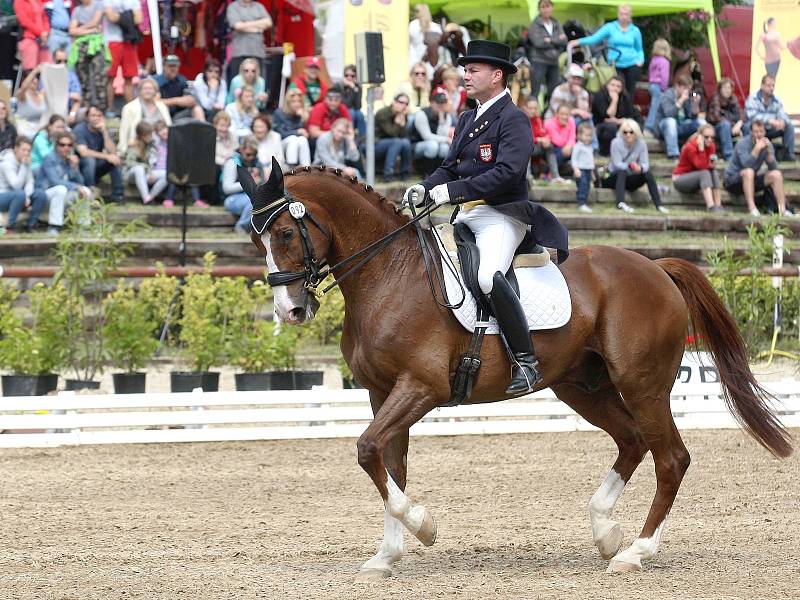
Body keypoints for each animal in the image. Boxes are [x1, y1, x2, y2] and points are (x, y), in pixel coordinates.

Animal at [245, 166, 792, 580]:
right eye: (258, 241)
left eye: (287, 233)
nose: (291, 310)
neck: (388, 275)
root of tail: (657, 268)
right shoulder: (383, 393)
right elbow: (387, 464)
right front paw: (386, 556)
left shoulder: (421, 388)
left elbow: (367, 451)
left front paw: (424, 526)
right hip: (582, 386)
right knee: (633, 441)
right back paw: (606, 533)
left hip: (643, 385)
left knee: (671, 458)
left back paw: (636, 552)